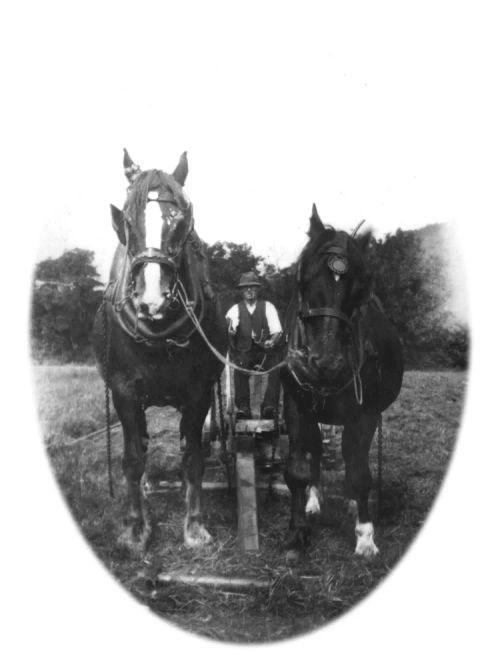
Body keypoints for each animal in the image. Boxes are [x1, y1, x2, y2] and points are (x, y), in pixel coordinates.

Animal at [92, 150, 227, 552]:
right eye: (127, 220)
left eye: (181, 220)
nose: (152, 299)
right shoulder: (124, 392)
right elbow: (133, 459)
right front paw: (136, 528)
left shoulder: (198, 393)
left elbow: (193, 456)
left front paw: (195, 526)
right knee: (141, 443)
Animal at [284, 205, 404, 560]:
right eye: (303, 280)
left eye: (361, 288)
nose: (326, 364)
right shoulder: (295, 405)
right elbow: (298, 468)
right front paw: (297, 532)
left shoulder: (365, 413)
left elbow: (360, 473)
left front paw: (365, 537)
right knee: (316, 449)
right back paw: (313, 501)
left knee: (353, 457)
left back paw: (353, 506)